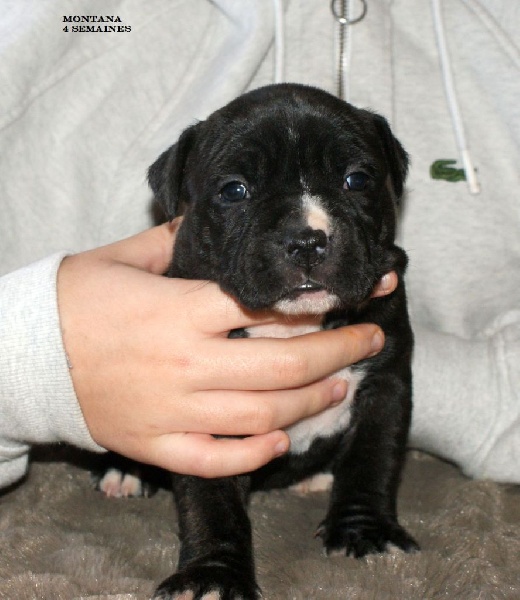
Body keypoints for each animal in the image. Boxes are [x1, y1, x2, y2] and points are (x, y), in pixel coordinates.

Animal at [100, 83, 419, 599]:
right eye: (234, 190)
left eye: (357, 180)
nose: (307, 239)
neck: (290, 324)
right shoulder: (208, 409)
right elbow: (212, 502)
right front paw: (215, 574)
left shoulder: (385, 383)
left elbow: (373, 458)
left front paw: (364, 531)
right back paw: (127, 471)